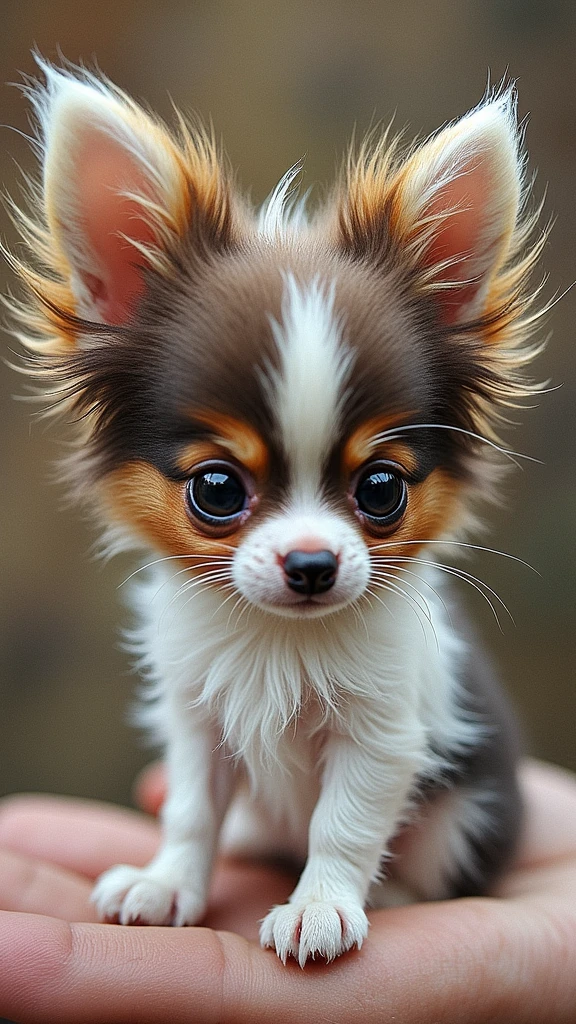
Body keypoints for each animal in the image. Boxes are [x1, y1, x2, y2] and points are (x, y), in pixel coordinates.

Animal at [6, 59, 545, 962]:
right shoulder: (196, 720)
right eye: (218, 491)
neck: (278, 642)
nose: (313, 565)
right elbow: (193, 812)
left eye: (381, 491)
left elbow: (344, 824)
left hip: (471, 810)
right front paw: (167, 884)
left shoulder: (382, 732)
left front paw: (321, 906)